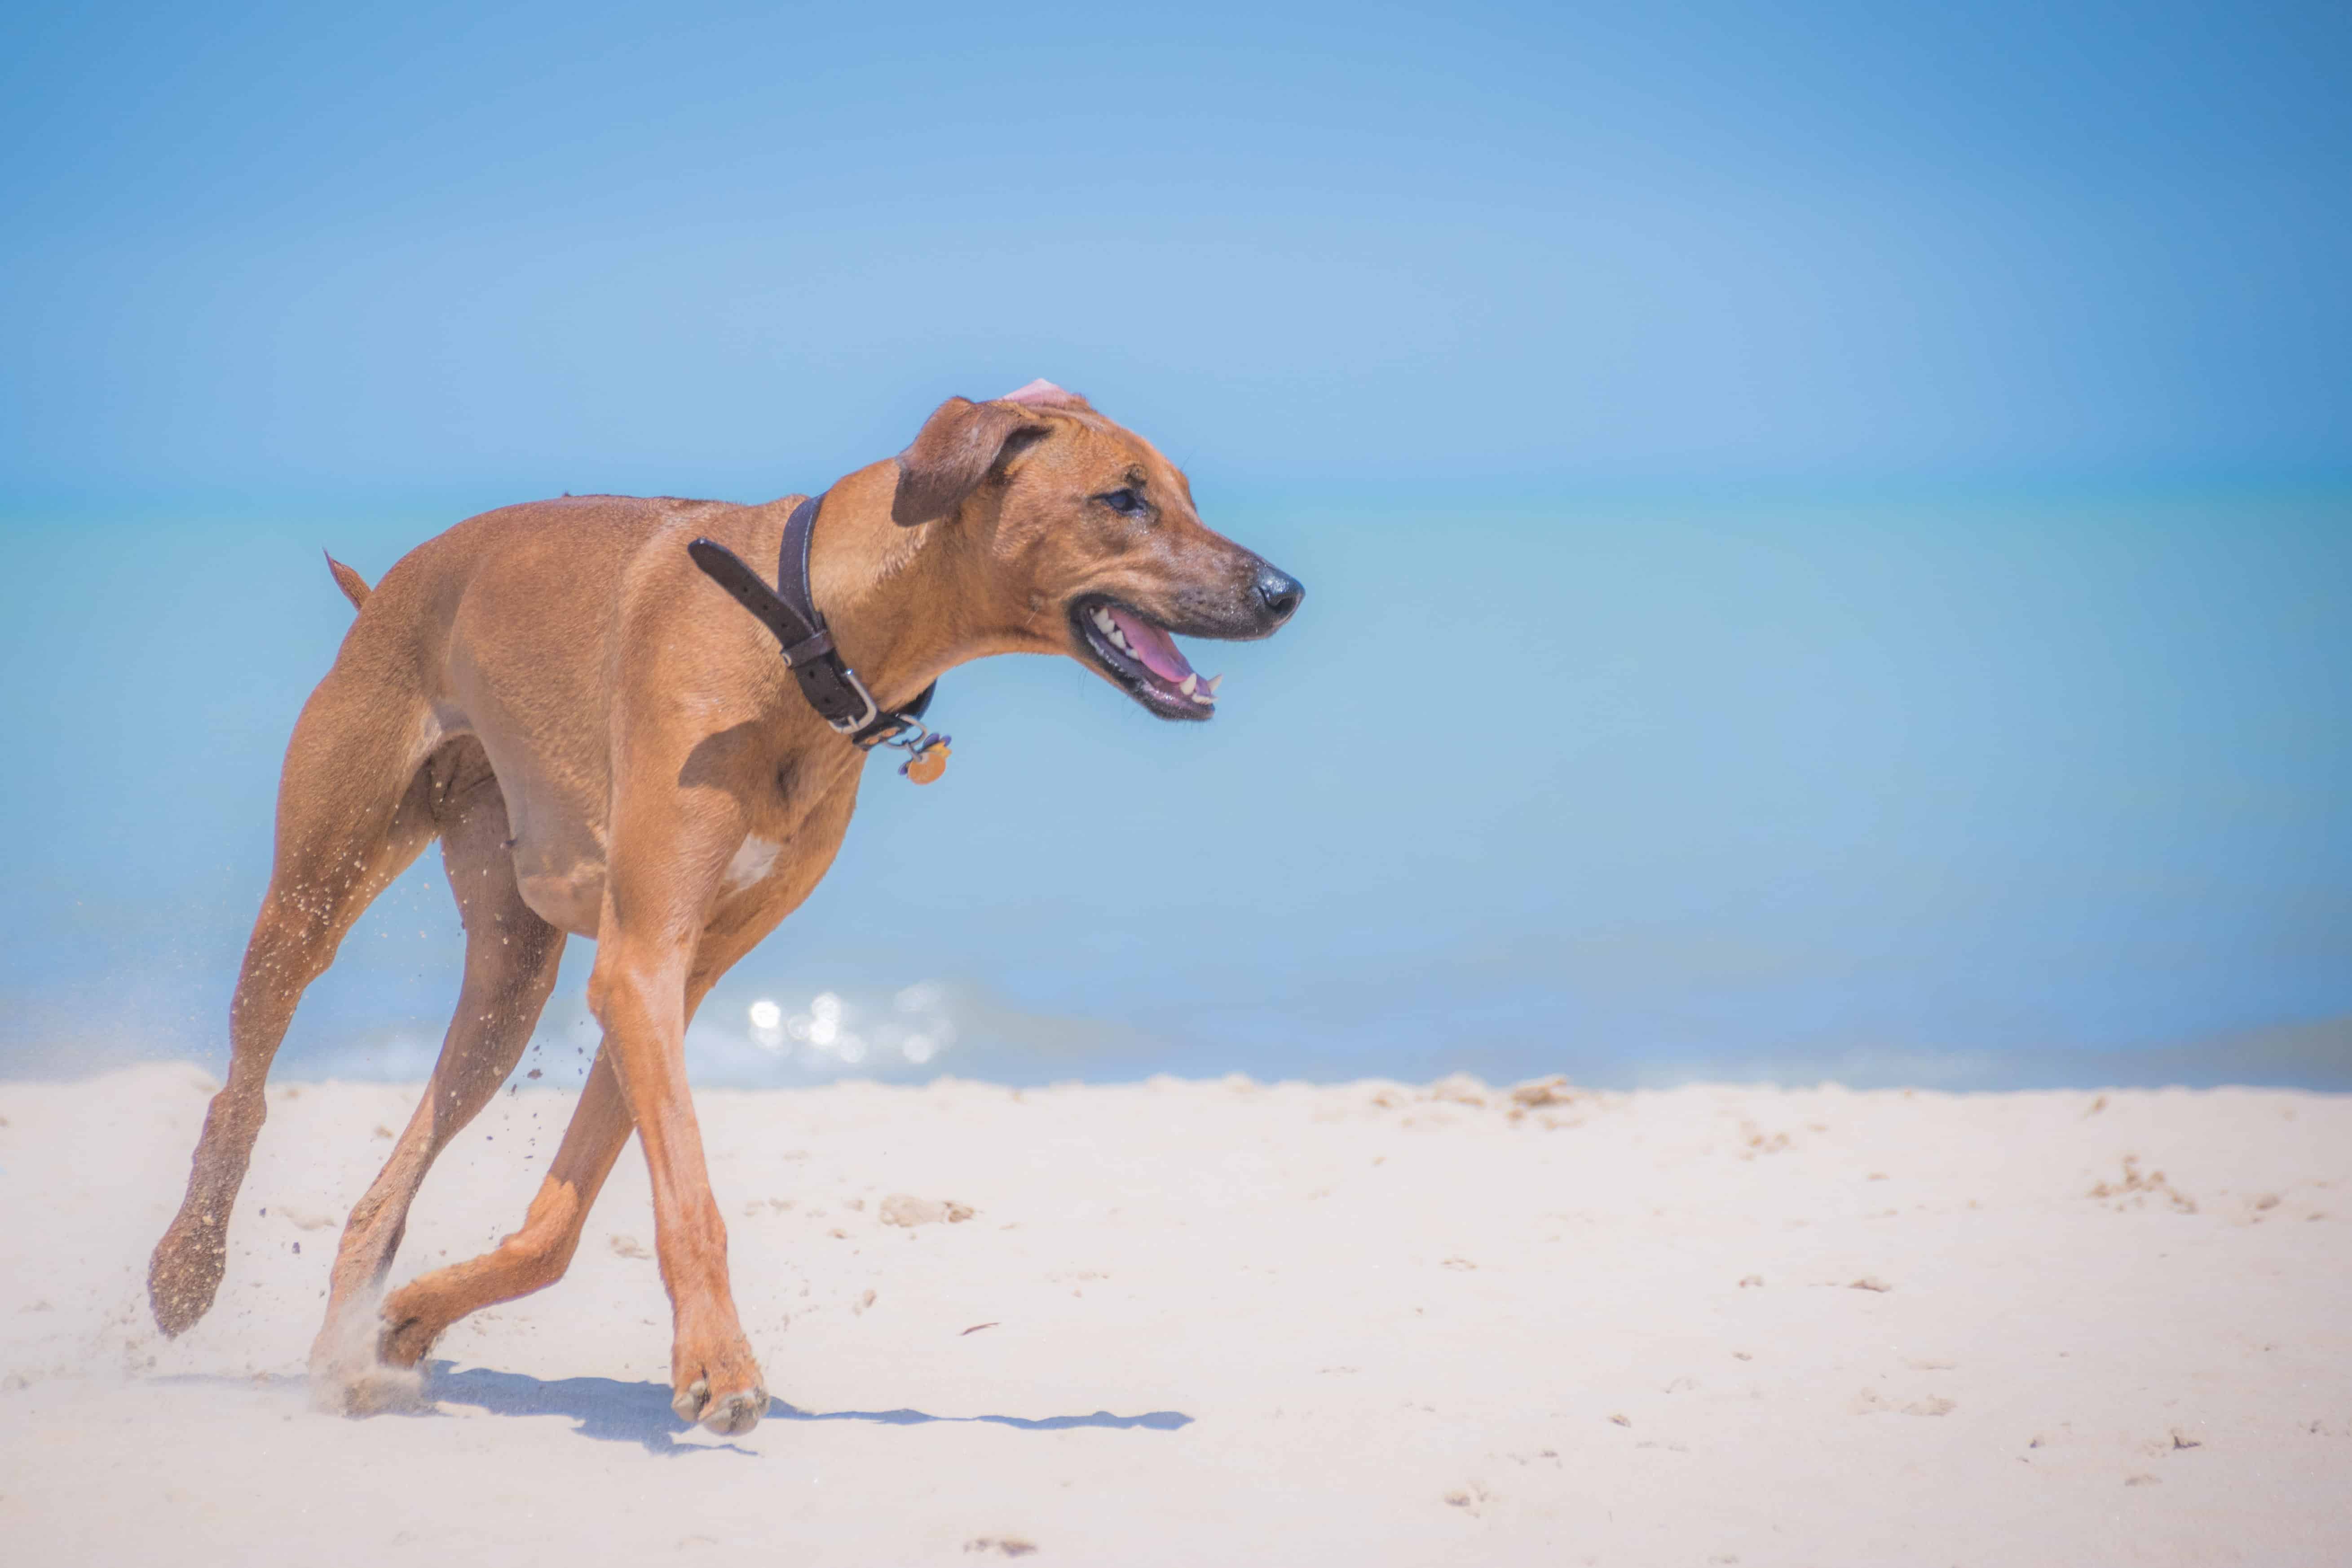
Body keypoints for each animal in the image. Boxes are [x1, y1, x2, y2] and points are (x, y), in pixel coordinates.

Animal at [147, 383, 1307, 1439]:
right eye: (1124, 497)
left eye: (1183, 493)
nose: (1286, 589)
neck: (806, 627)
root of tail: (389, 582)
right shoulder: (641, 964)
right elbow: (688, 1199)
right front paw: (720, 1363)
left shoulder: (674, 976)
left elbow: (559, 1223)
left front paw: (418, 1315)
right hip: (314, 888)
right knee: (242, 1088)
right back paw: (184, 1269)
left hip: (508, 981)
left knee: (385, 1182)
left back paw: (344, 1351)